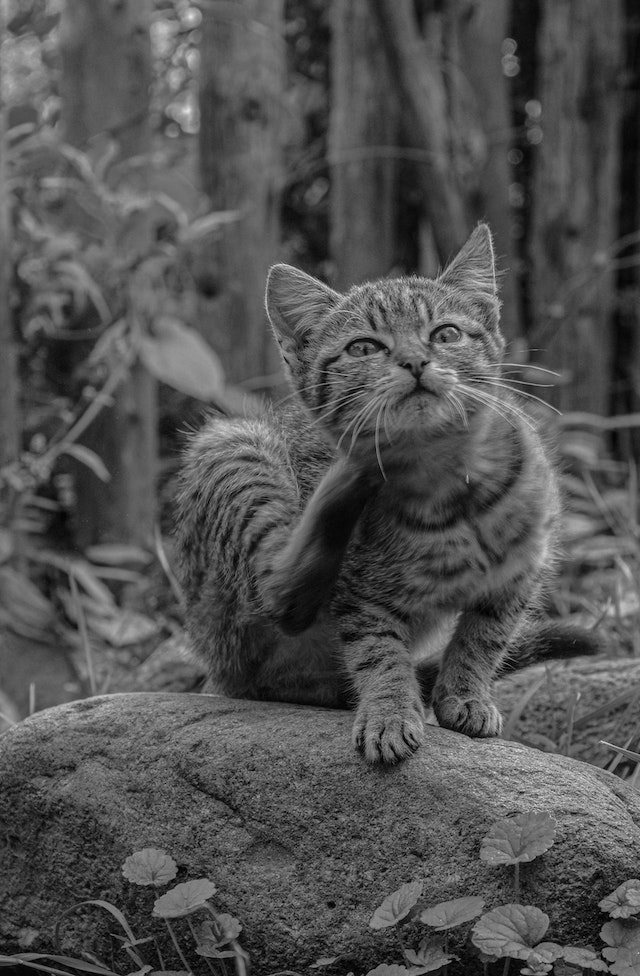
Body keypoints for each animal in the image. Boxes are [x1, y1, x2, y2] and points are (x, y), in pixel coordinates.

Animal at [174, 225, 596, 768]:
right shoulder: (362, 597)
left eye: (445, 335)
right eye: (363, 348)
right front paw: (390, 713)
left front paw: (466, 695)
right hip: (231, 446)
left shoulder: (519, 574)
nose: (415, 361)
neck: (445, 482)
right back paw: (344, 480)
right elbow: (380, 653)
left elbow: (484, 637)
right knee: (278, 591)